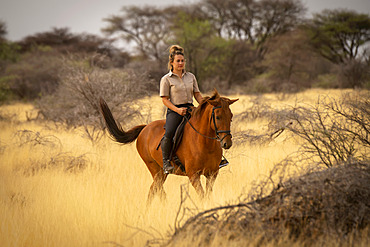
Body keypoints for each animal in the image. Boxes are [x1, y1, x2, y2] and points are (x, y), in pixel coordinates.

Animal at [99, 89, 237, 205]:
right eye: (218, 117)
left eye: (231, 116)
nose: (227, 143)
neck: (205, 143)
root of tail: (145, 128)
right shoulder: (193, 175)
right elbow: (202, 196)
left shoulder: (212, 174)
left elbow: (207, 196)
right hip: (155, 169)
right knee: (157, 189)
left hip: (162, 172)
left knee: (153, 190)